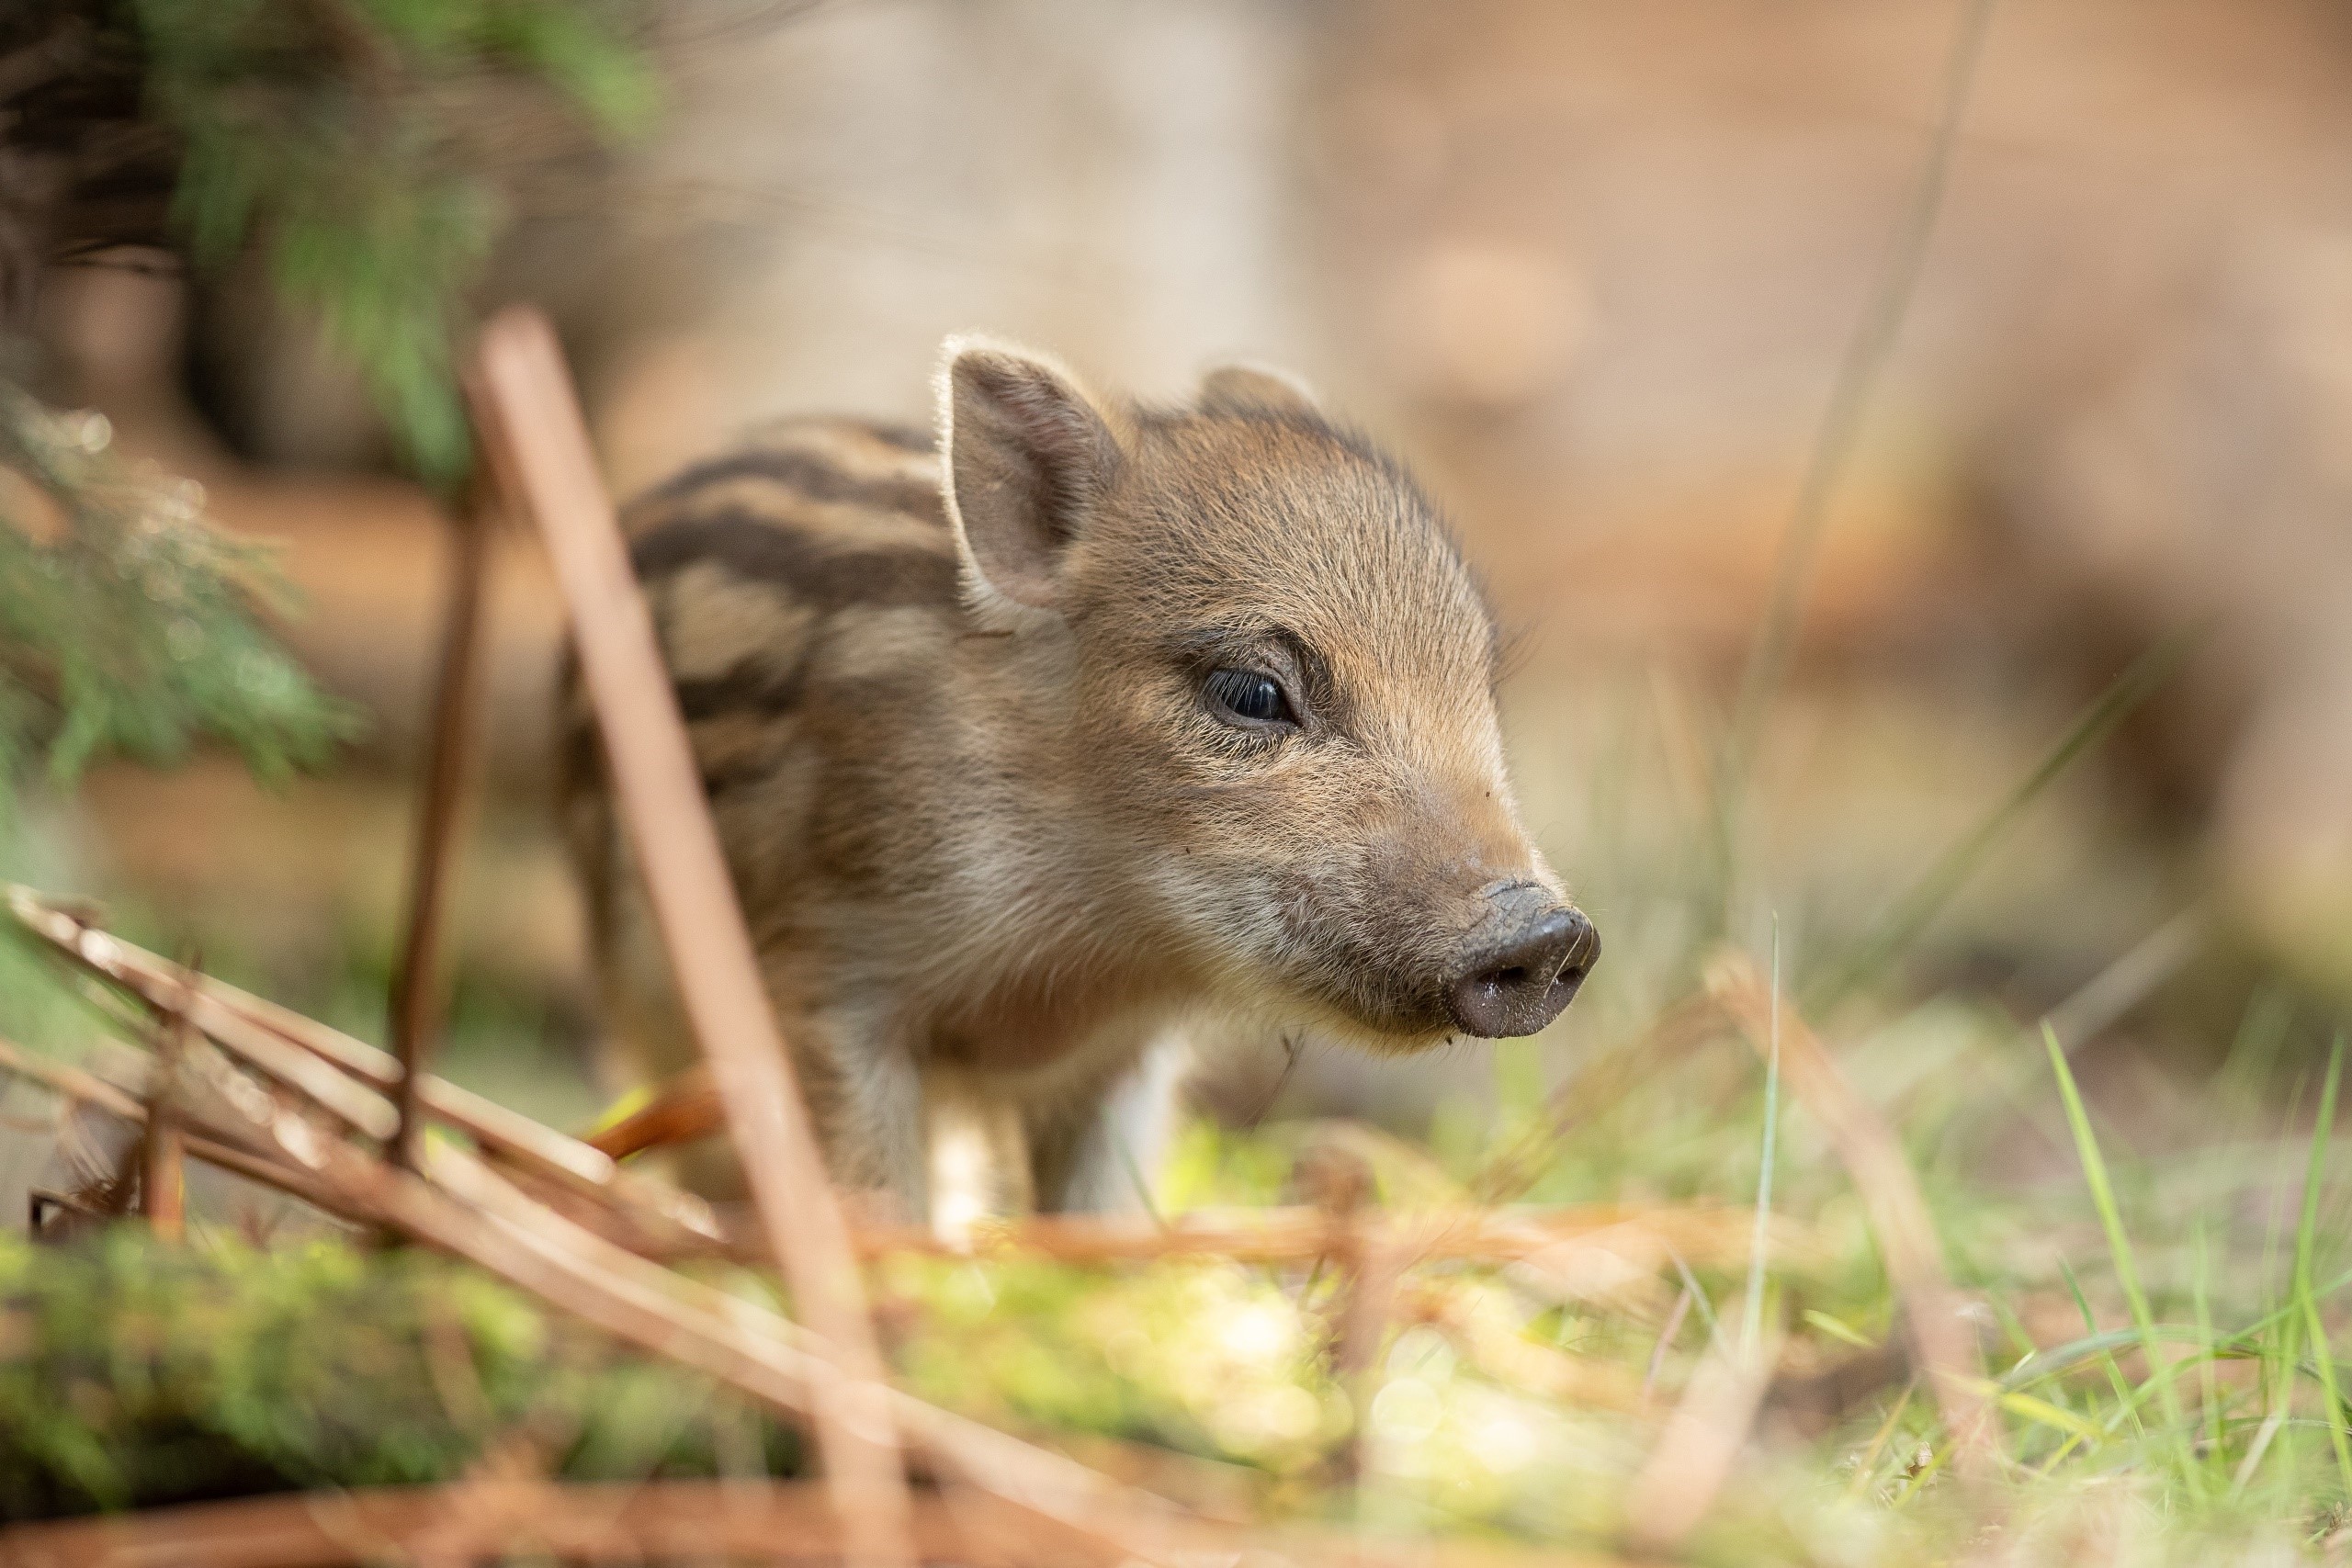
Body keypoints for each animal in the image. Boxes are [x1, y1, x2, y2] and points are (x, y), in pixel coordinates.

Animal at [560, 337, 1597, 1223]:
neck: (1093, 927)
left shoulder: (1125, 1061)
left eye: (1476, 678)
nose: (1552, 934)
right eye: (1252, 692)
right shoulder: (827, 977)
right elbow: (872, 1189)